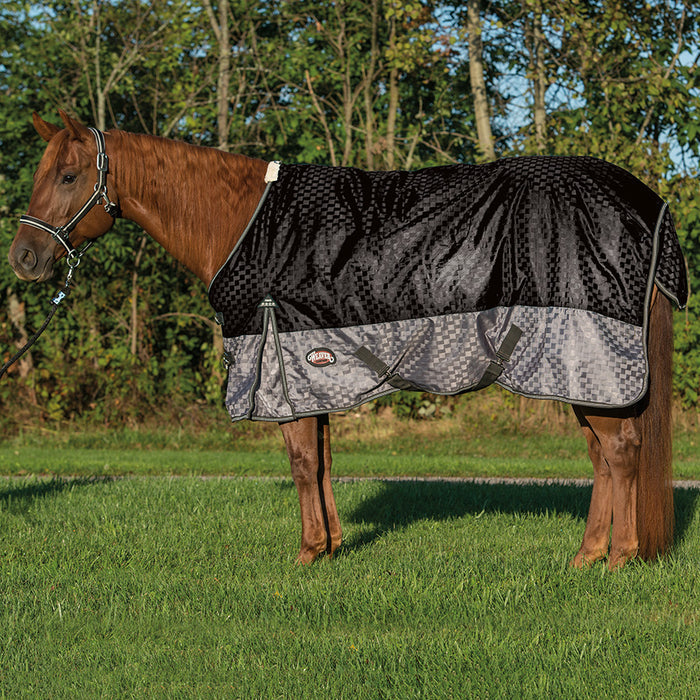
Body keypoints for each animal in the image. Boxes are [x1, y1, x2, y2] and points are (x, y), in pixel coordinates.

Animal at [9, 110, 681, 570]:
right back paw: (587, 556)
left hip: (588, 362)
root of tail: (648, 207)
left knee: (621, 452)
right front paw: (331, 546)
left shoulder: (280, 367)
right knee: (602, 456)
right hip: (578, 373)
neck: (244, 225)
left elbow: (302, 462)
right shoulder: (313, 372)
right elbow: (324, 460)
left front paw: (308, 553)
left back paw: (618, 558)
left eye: (68, 175)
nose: (23, 257)